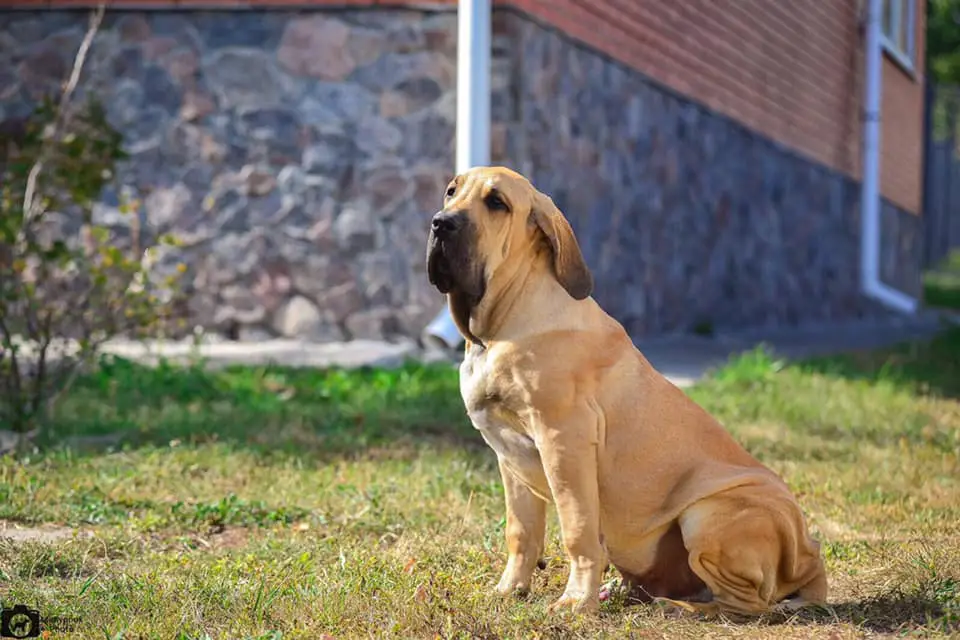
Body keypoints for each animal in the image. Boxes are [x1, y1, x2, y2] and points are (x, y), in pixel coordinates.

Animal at [424, 165, 828, 616]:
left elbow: (578, 529)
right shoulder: (509, 458)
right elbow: (521, 533)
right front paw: (510, 590)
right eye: (451, 191)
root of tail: (810, 560)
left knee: (746, 603)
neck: (499, 326)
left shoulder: (564, 442)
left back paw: (679, 607)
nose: (441, 224)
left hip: (707, 514)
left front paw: (575, 602)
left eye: (497, 202)